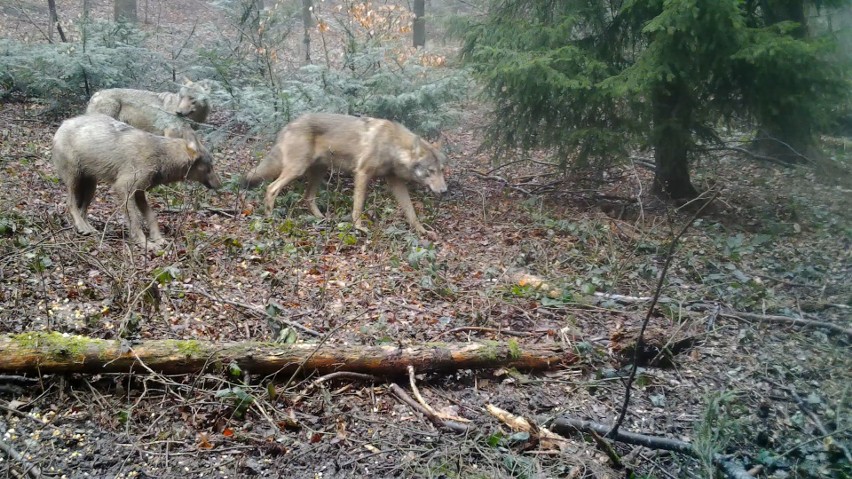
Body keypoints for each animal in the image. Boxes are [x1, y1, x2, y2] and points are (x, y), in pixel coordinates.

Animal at [51, 112, 221, 248]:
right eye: (211, 166)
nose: (221, 184)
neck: (161, 156)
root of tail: (62, 124)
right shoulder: (123, 189)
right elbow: (136, 221)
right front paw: (145, 244)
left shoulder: (139, 192)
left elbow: (152, 217)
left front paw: (158, 239)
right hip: (75, 180)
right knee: (70, 203)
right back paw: (81, 226)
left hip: (91, 187)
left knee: (82, 210)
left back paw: (89, 229)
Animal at [241, 113, 450, 236]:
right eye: (430, 171)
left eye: (441, 170)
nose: (444, 191)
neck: (392, 146)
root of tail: (287, 126)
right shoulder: (363, 173)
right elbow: (358, 205)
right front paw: (358, 226)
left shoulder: (396, 182)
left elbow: (411, 212)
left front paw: (422, 231)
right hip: (297, 170)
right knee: (271, 188)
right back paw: (270, 218)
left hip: (319, 171)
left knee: (307, 197)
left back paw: (323, 219)